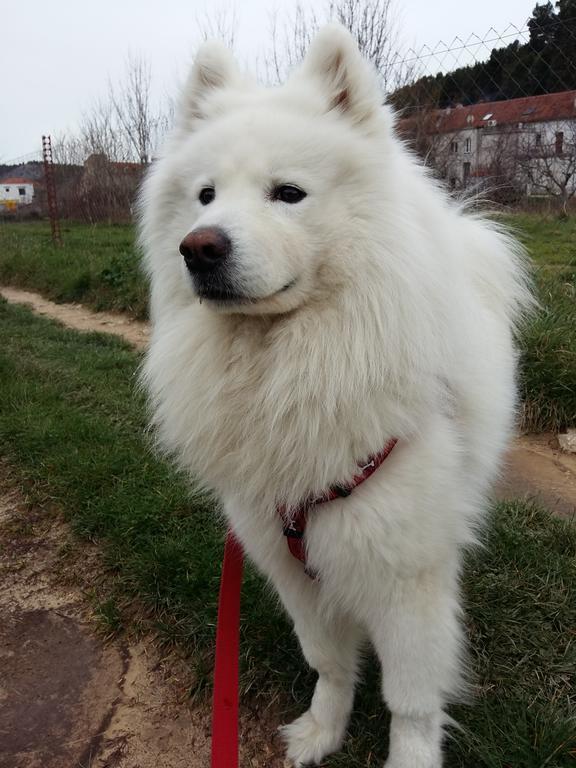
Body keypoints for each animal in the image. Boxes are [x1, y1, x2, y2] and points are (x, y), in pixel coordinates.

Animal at [138, 25, 532, 768]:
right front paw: (323, 729)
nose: (198, 248)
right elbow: (327, 661)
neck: (290, 365)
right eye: (205, 196)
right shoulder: (286, 559)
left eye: (288, 193)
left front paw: (411, 758)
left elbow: (411, 698)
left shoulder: (404, 572)